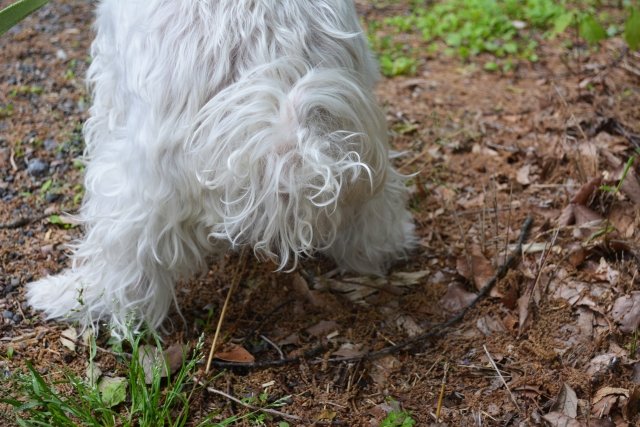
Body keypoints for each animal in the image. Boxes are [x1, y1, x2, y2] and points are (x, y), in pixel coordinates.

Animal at [26, 0, 416, 334]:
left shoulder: (110, 69)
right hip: (362, 152)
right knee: (372, 218)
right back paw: (378, 254)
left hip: (132, 184)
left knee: (124, 275)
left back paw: (67, 297)